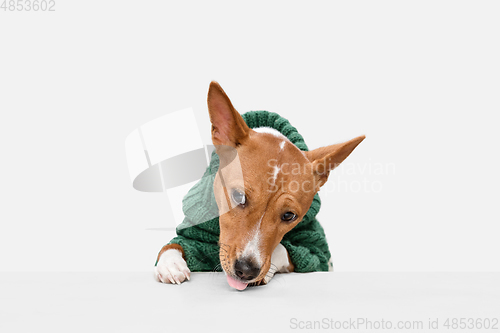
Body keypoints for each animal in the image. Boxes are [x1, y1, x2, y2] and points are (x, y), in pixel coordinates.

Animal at [152, 81, 364, 290]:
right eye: (238, 196)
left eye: (289, 216)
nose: (246, 270)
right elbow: (173, 245)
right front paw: (171, 263)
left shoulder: (316, 253)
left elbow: (283, 249)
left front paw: (267, 271)